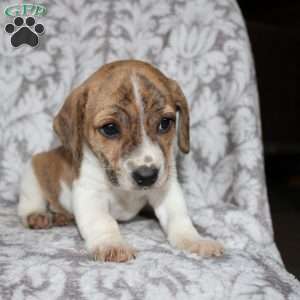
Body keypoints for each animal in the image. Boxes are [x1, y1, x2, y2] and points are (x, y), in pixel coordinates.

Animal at [18, 59, 223, 262]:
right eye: (110, 128)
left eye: (165, 123)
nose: (147, 176)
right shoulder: (90, 194)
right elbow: (103, 222)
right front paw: (111, 244)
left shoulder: (166, 189)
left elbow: (179, 218)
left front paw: (195, 240)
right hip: (32, 174)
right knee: (29, 202)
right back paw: (37, 215)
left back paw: (62, 217)